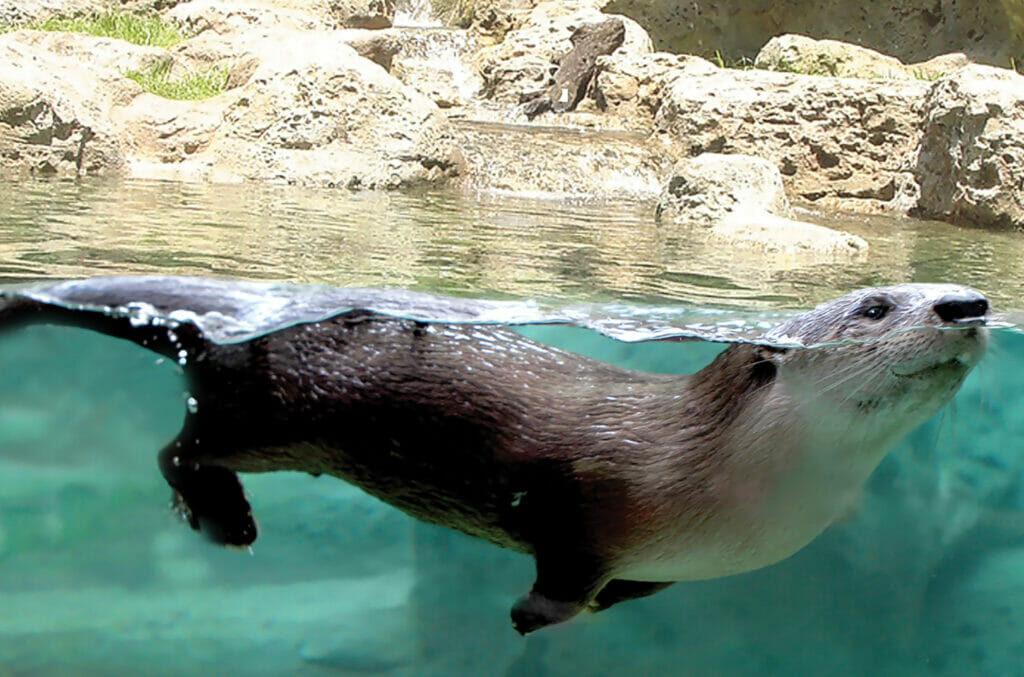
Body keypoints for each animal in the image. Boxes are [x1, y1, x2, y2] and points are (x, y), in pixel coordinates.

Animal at [0, 278, 989, 634]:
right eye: (874, 306)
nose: (972, 303)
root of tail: (217, 325)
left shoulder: (670, 557)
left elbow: (627, 585)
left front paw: (599, 607)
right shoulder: (591, 493)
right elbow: (563, 559)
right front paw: (532, 615)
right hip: (272, 407)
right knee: (180, 446)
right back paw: (224, 518)